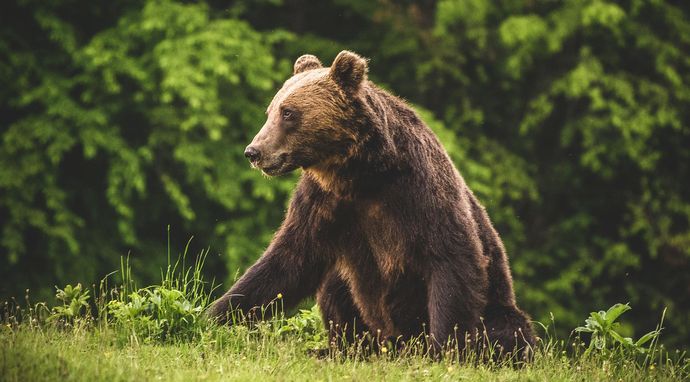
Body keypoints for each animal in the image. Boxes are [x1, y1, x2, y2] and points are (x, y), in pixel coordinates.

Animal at [207, 50, 536, 358]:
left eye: (288, 113)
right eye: (271, 110)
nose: (254, 151)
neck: (360, 175)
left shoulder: (420, 192)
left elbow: (452, 259)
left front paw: (444, 351)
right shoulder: (323, 203)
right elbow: (286, 262)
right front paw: (213, 318)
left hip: (497, 306)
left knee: (509, 328)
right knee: (336, 289)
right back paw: (336, 350)